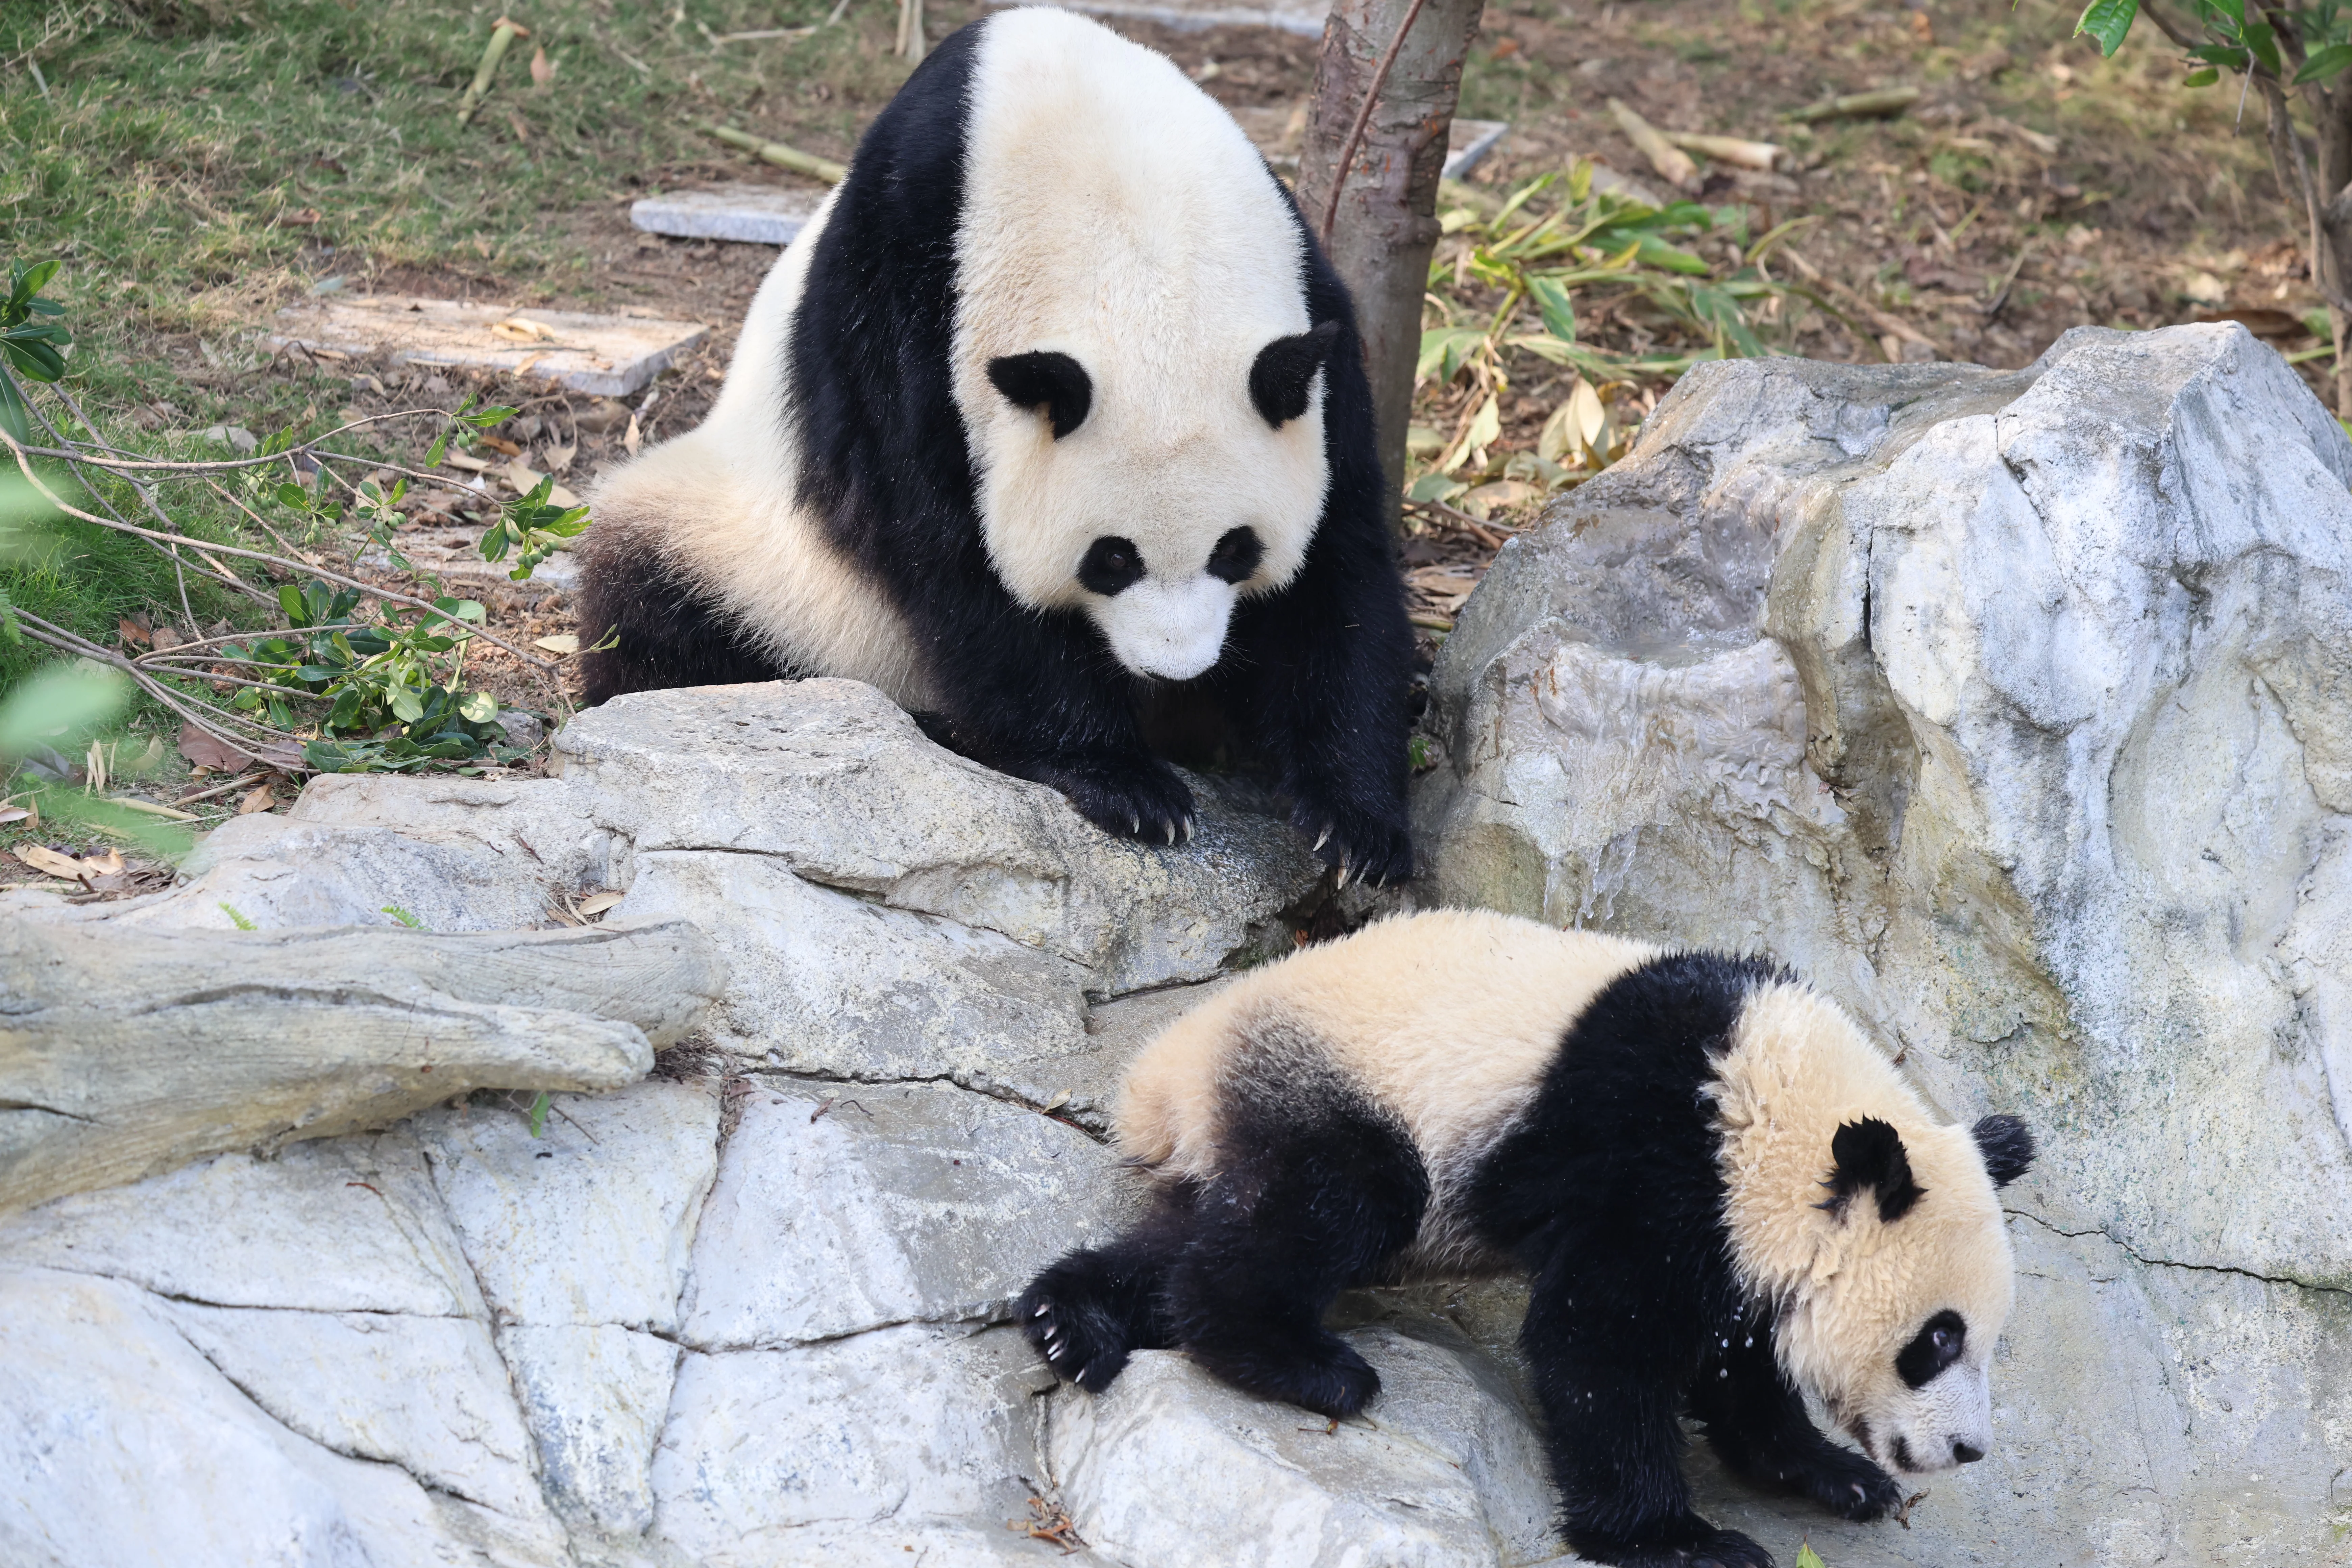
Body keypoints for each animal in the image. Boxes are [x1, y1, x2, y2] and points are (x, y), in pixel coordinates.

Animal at [576, 8, 1415, 884]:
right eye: (1111, 559)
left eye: (1235, 550)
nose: (1174, 668)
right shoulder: (903, 310)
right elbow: (947, 557)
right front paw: (1127, 783)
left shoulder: (1316, 327)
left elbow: (1339, 560)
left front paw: (1355, 826)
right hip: (758, 558)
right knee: (661, 613)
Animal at [1016, 909, 2037, 1568]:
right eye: (1936, 1340)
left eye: (1987, 1343)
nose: (1967, 1450)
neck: (1775, 1107)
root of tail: (1165, 1072)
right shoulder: (1657, 1155)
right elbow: (1596, 1341)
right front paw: (1681, 1540)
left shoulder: (1727, 1223)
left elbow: (1734, 1360)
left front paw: (1836, 1475)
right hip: (1340, 1084)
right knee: (1325, 1210)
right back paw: (1302, 1363)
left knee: (1194, 1230)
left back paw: (1071, 1322)